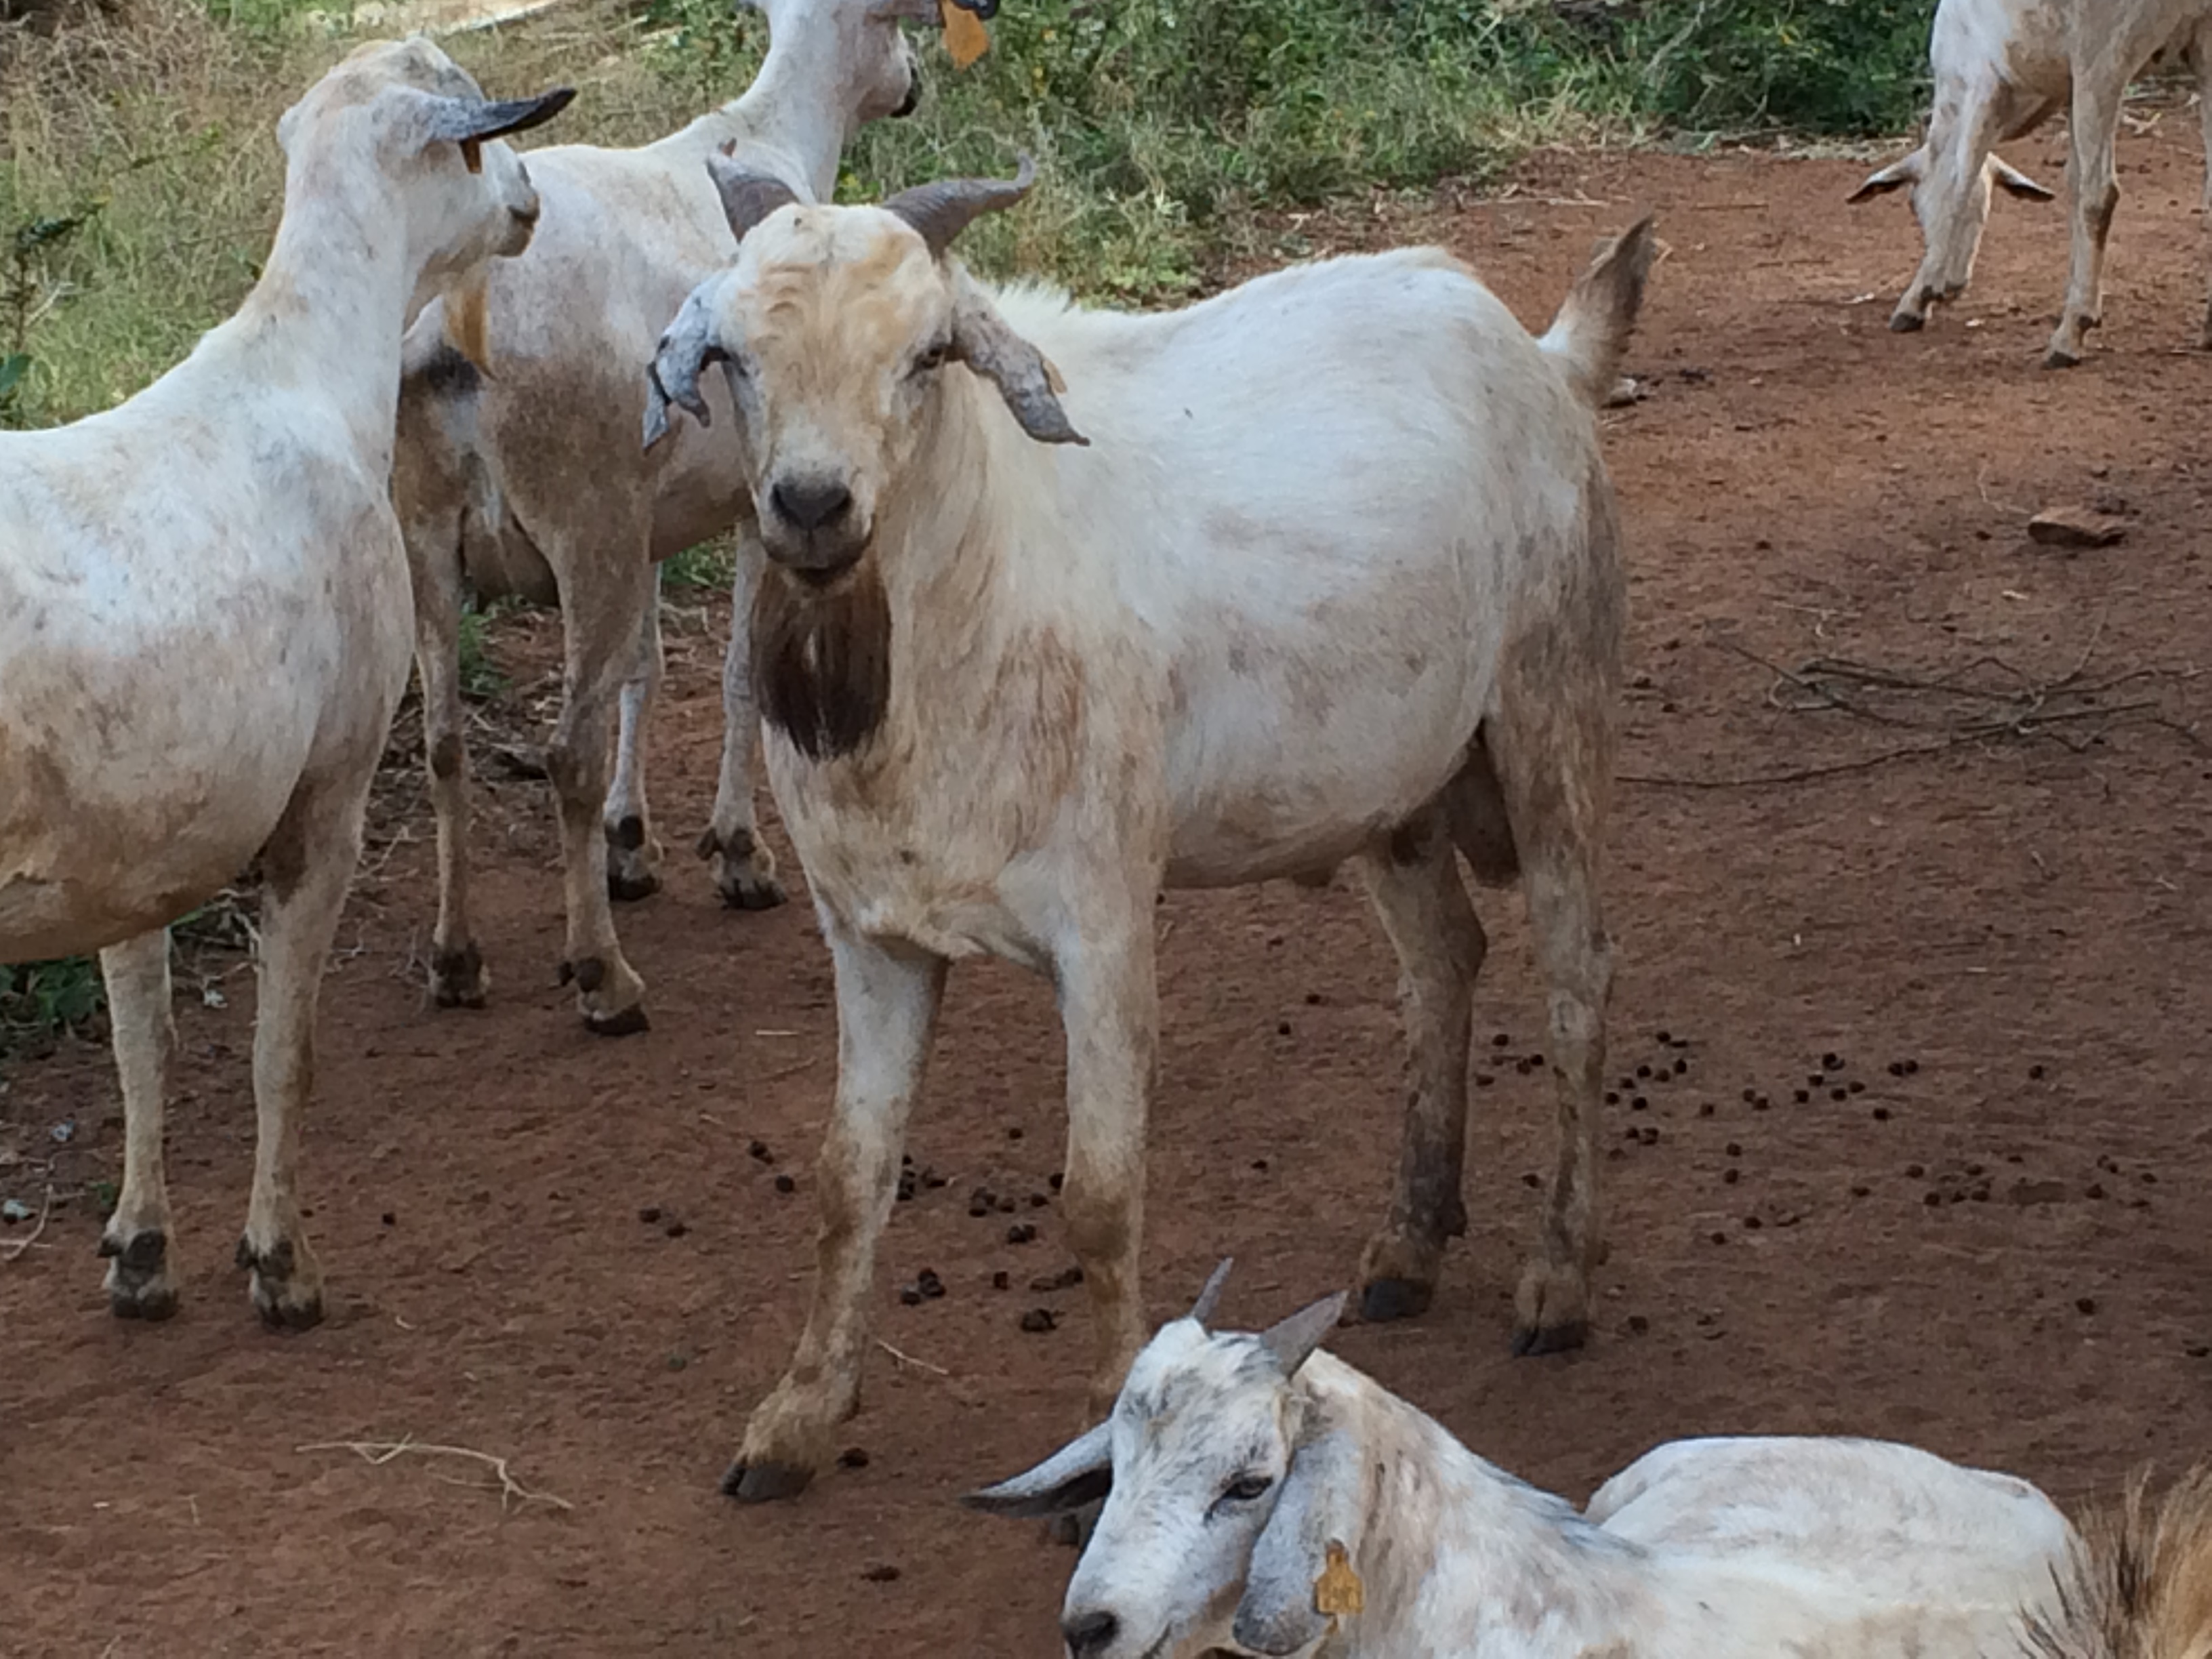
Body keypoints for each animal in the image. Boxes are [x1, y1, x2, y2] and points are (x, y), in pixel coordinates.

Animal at [0, 40, 570, 1325]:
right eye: (478, 138)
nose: (531, 200)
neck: (304, 370)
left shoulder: (139, 843)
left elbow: (142, 1040)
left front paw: (142, 1248)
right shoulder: (327, 798)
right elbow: (281, 1051)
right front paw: (280, 1262)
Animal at [394, 0, 952, 1034]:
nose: (912, 87)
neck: (774, 134)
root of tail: (456, 318)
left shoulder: (652, 517)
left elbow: (643, 673)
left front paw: (631, 843)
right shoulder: (755, 501)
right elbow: (736, 675)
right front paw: (738, 853)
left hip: (434, 533)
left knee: (445, 744)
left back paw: (456, 958)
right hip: (581, 518)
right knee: (564, 752)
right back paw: (602, 977)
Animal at [643, 157, 1654, 1499]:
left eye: (925, 356)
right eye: (735, 360)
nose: (811, 506)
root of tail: (1541, 355)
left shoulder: (1104, 915)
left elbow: (1100, 1191)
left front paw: (1100, 1430)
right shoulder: (869, 933)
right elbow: (846, 1178)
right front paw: (798, 1417)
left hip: (1553, 708)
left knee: (1578, 977)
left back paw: (1559, 1275)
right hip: (1391, 787)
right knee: (1444, 960)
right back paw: (1405, 1245)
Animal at [1850, 0, 2212, 365]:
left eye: (1913, 205)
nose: (1953, 285)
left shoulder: (1981, 87)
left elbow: (1958, 184)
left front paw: (1916, 300)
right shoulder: (2065, 91)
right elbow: (2072, 184)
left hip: (2101, 55)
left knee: (2101, 193)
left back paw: (2068, 337)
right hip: (2199, 45)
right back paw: (2207, 331)